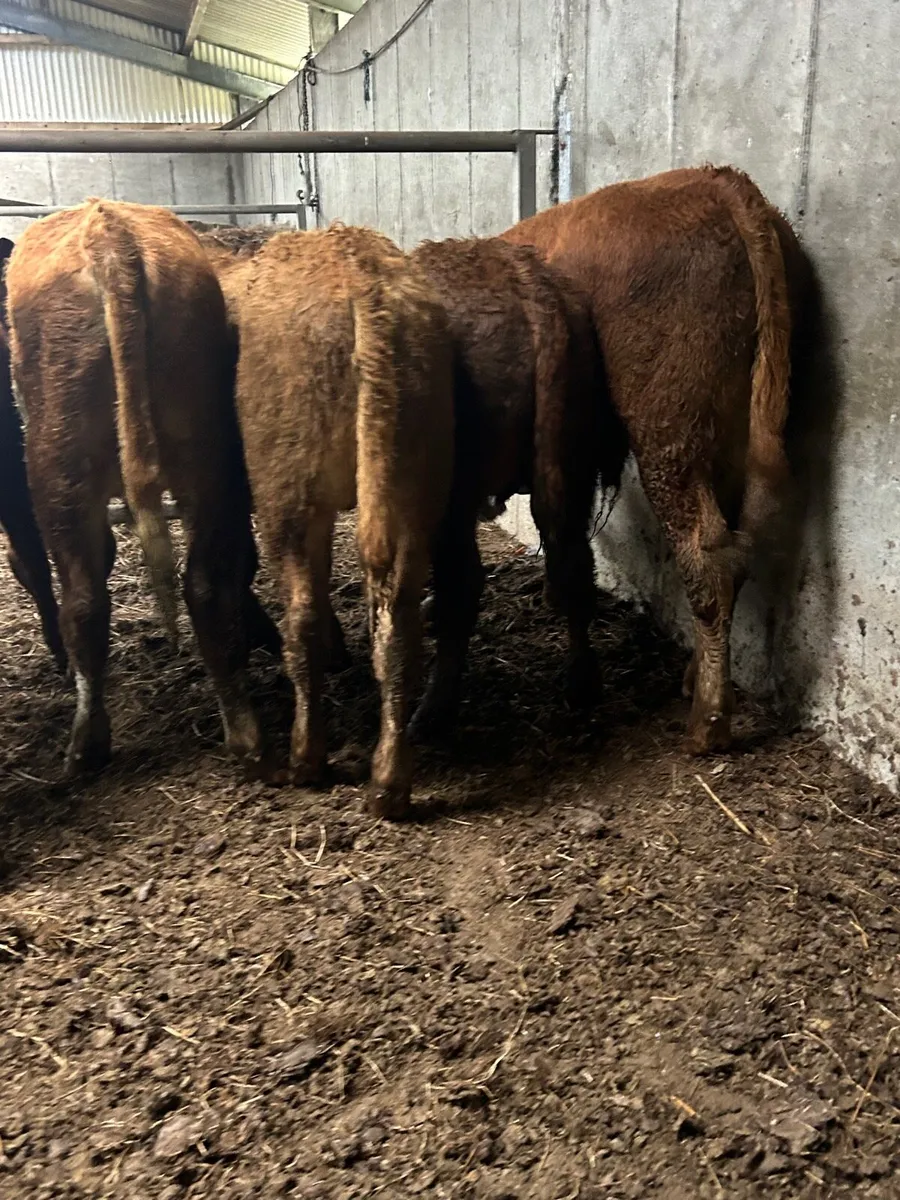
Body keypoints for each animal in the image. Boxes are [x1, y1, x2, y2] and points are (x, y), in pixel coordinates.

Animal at [5, 199, 273, 775]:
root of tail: (108, 229)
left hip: (59, 467)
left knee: (86, 598)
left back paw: (87, 741)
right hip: (194, 460)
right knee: (195, 586)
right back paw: (242, 730)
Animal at [204, 223, 454, 818]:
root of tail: (364, 281)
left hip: (289, 494)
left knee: (303, 617)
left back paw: (306, 756)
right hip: (412, 483)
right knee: (397, 625)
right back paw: (388, 782)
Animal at [407, 236, 629, 735]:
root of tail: (529, 291)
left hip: (453, 499)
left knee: (464, 583)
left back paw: (432, 712)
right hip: (573, 471)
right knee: (573, 563)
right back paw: (582, 683)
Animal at [502, 165, 797, 754]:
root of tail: (722, 186)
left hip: (668, 441)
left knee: (706, 553)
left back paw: (707, 724)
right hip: (726, 438)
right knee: (735, 549)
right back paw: (696, 682)